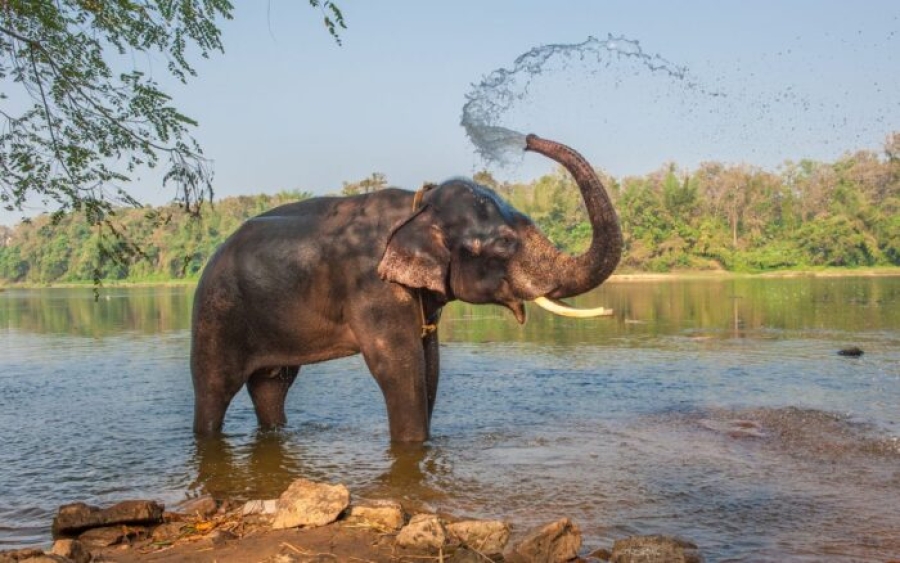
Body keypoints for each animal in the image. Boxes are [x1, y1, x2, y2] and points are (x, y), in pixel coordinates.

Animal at [190, 134, 622, 441]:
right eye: (503, 243)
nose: (529, 139)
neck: (420, 205)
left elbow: (429, 364)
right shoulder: (372, 285)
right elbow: (398, 366)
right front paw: (413, 447)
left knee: (272, 386)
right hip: (217, 312)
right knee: (214, 387)